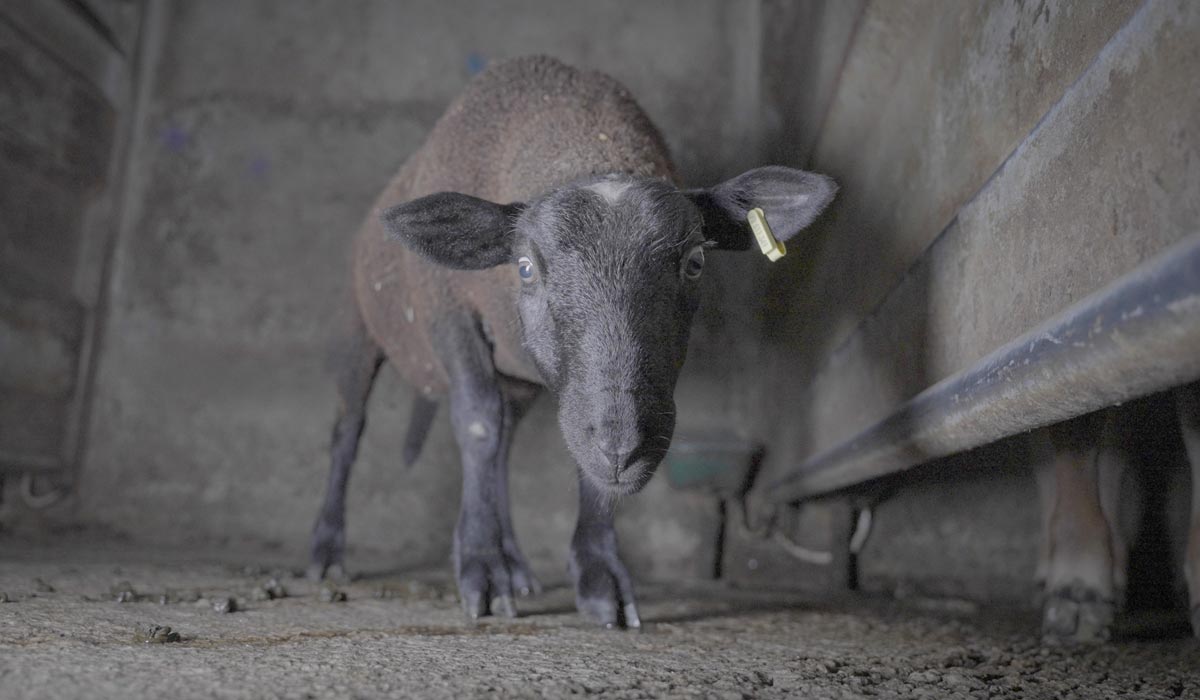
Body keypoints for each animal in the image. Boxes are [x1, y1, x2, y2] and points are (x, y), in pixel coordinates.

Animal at [309, 53, 835, 624]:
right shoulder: (448, 312)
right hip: (359, 328)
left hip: (518, 381)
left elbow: (575, 465)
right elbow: (475, 424)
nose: (624, 446)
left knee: (504, 447)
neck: (584, 133)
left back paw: (517, 563)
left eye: (696, 262)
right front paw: (481, 566)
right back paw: (328, 553)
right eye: (524, 267)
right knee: (350, 431)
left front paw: (598, 575)